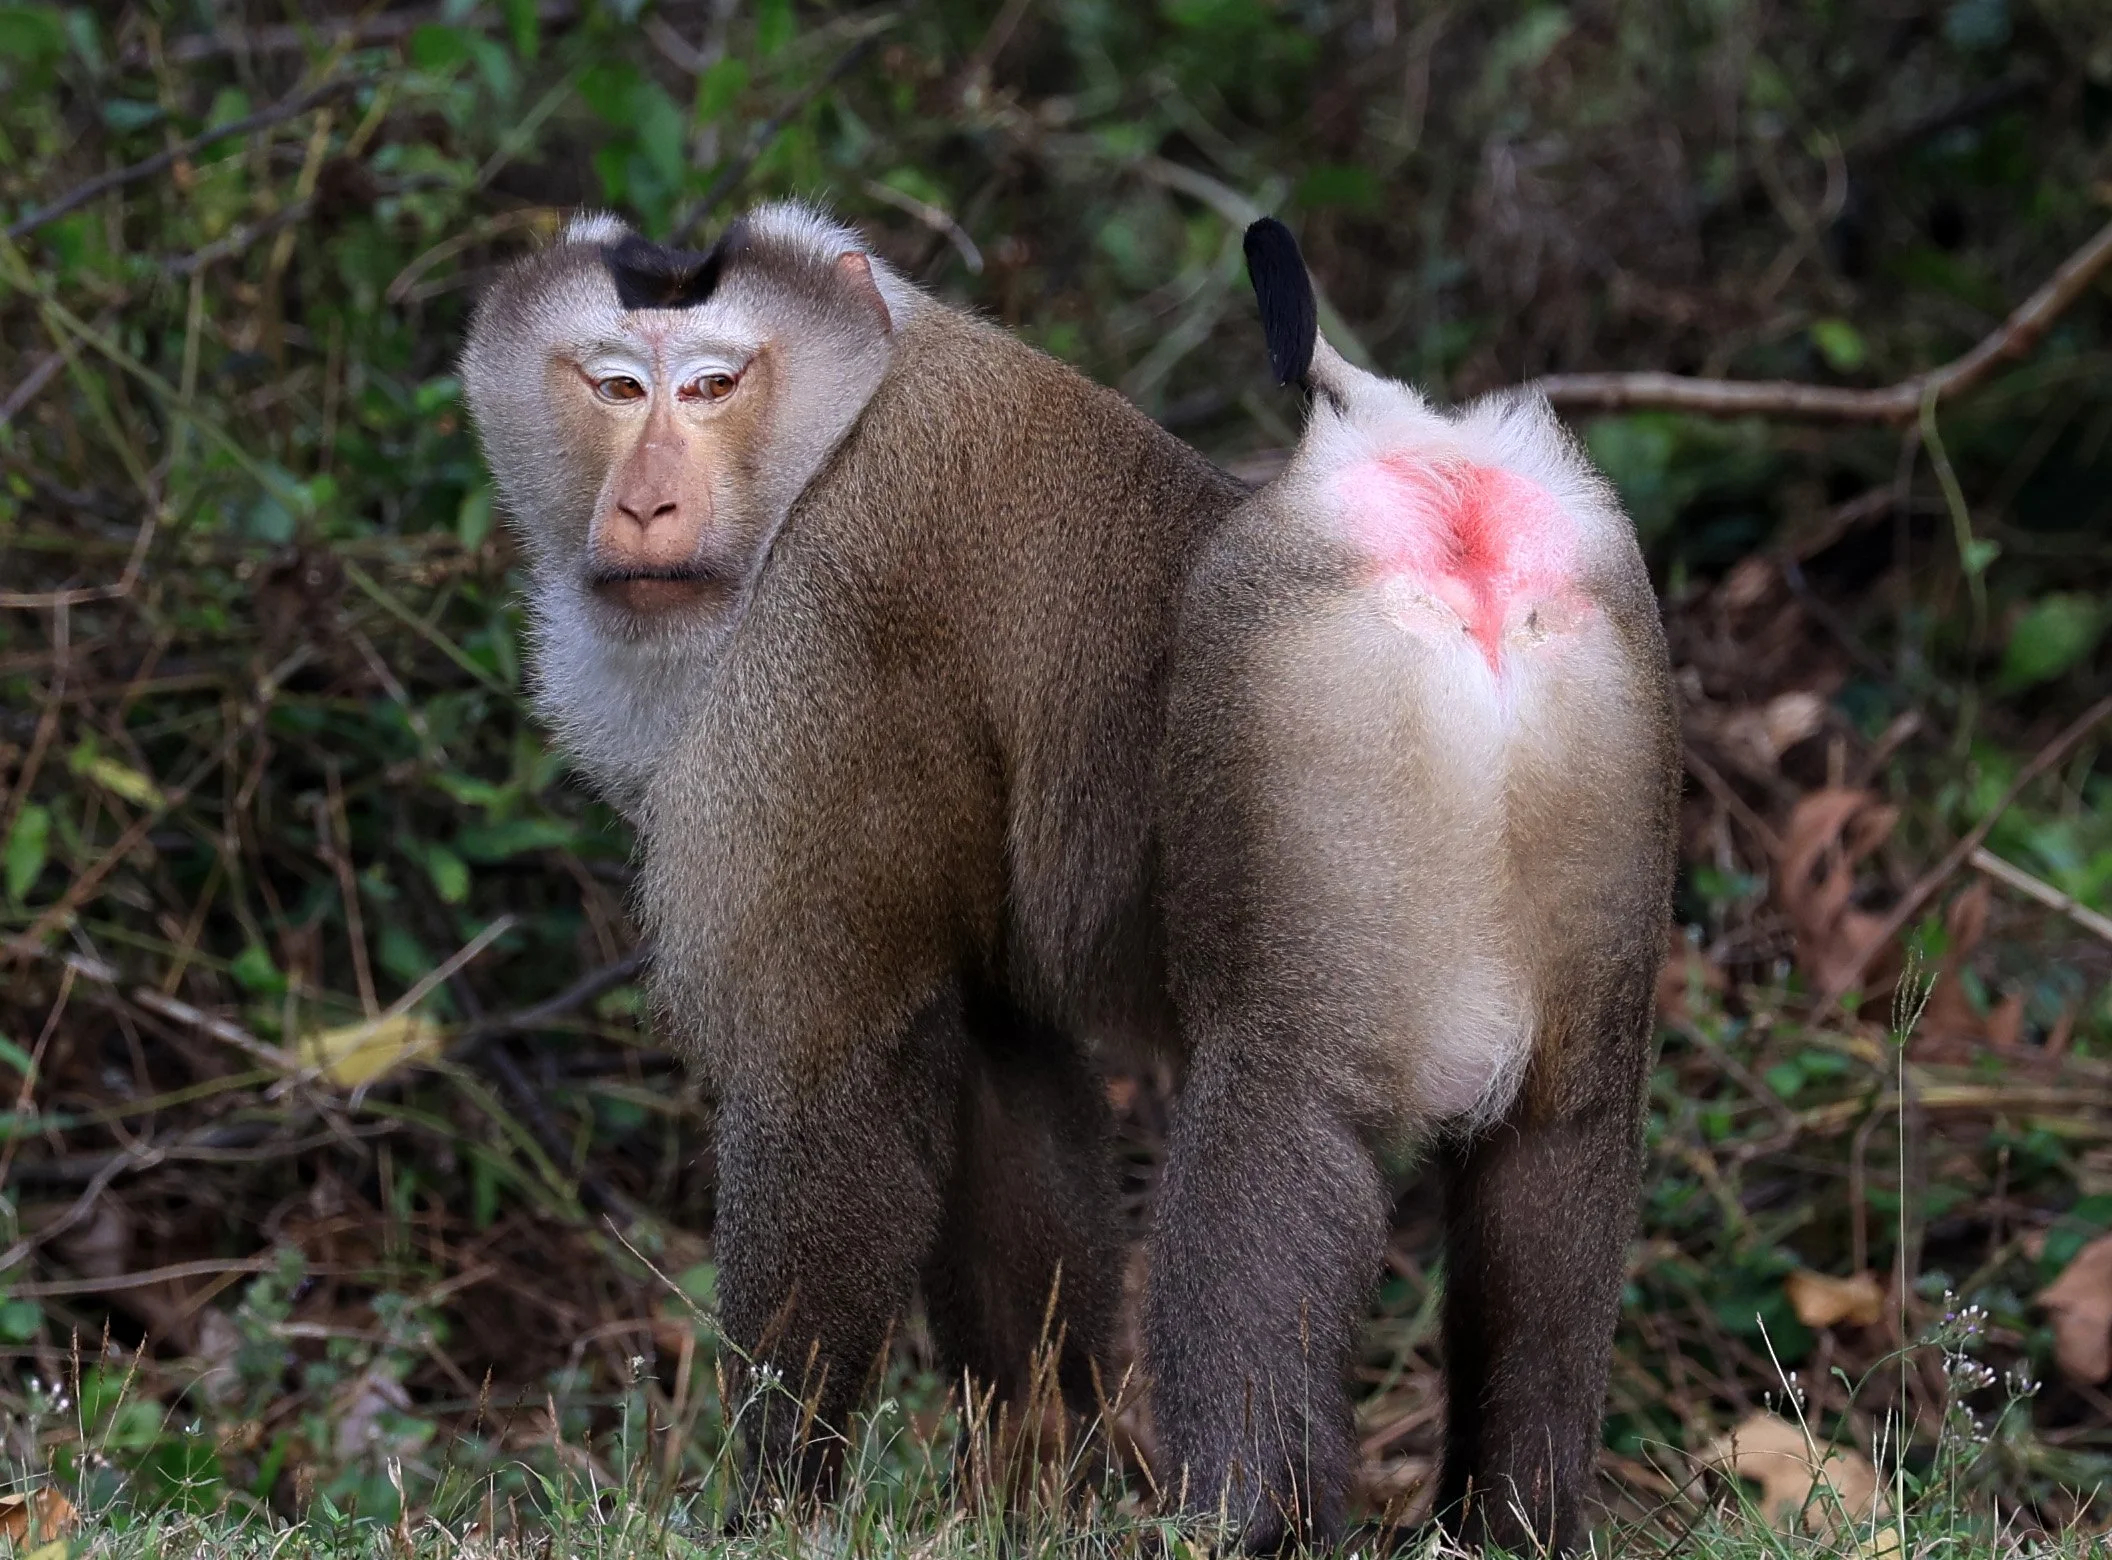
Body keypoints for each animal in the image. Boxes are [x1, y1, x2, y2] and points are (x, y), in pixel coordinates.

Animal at [461, 201, 1247, 1510]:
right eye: (618, 387)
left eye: (714, 384)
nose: (646, 506)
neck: (830, 440)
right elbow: (995, 1051)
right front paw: (1044, 1470)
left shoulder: (826, 654)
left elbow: (827, 1078)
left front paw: (776, 1498)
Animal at [1143, 218, 1679, 1552]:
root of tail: (1403, 439)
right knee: (1557, 1183)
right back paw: (1518, 1515)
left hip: (1300, 1001)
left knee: (1273, 1149)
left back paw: (1242, 1518)